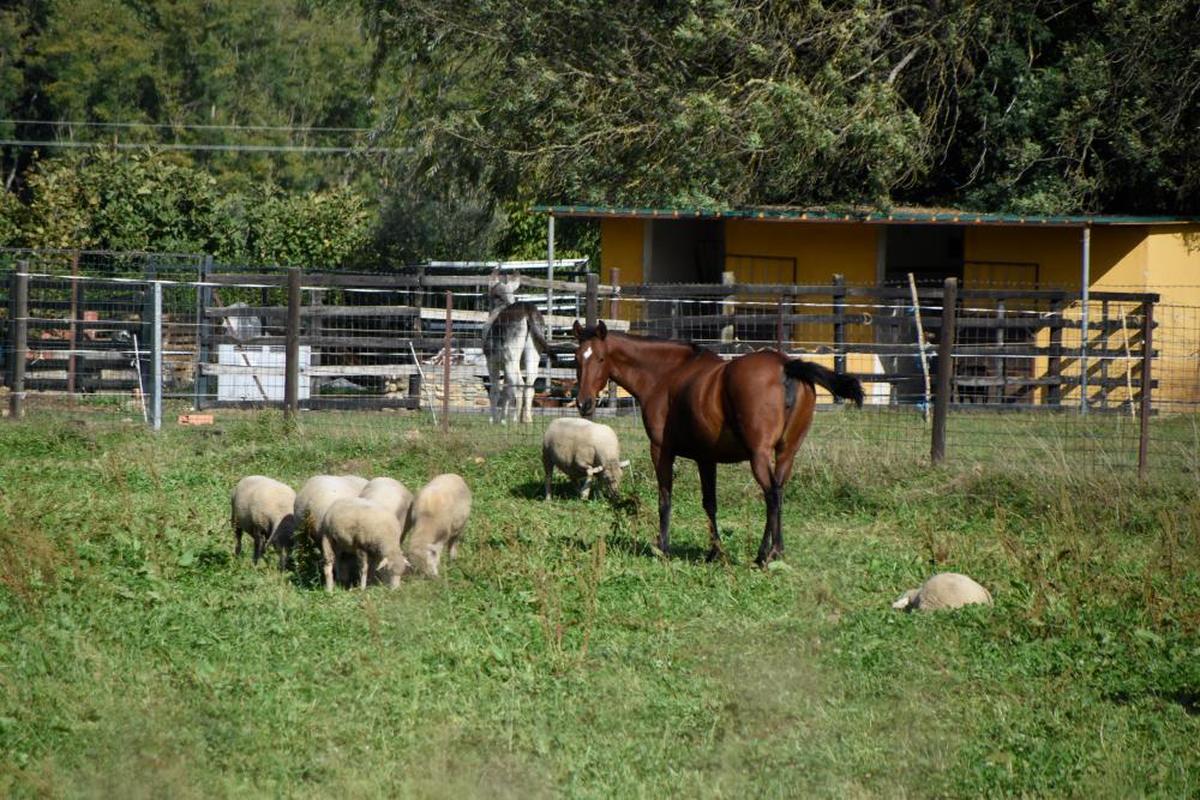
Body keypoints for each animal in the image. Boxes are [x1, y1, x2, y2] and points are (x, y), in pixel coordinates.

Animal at [571, 321, 864, 566]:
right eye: (576, 358)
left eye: (600, 358)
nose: (584, 403)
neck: (666, 375)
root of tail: (786, 366)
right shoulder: (706, 458)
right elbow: (710, 503)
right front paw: (715, 550)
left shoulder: (661, 451)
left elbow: (665, 497)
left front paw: (662, 546)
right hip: (786, 453)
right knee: (779, 492)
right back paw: (771, 551)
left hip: (759, 455)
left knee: (770, 495)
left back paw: (767, 554)